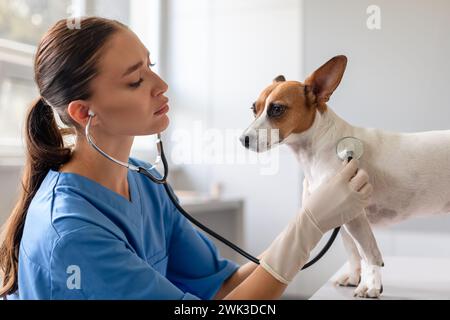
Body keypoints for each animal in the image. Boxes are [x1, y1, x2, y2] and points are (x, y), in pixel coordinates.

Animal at [239, 55, 450, 298]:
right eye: (254, 108)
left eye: (276, 109)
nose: (242, 139)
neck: (316, 150)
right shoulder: (342, 216)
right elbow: (354, 252)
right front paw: (355, 278)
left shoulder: (356, 216)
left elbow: (370, 253)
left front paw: (371, 286)